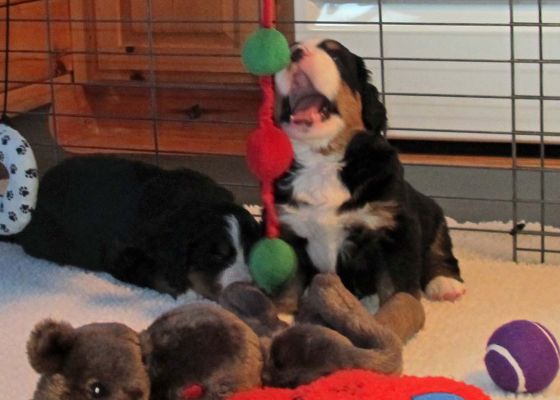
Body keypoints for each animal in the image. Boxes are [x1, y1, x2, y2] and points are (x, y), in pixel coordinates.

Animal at [274, 38, 464, 306]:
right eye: (290, 47)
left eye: (335, 56)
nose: (296, 53)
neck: (321, 162)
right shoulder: (287, 231)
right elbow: (287, 288)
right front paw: (279, 314)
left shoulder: (394, 230)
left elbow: (398, 289)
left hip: (432, 212)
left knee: (440, 250)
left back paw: (445, 284)